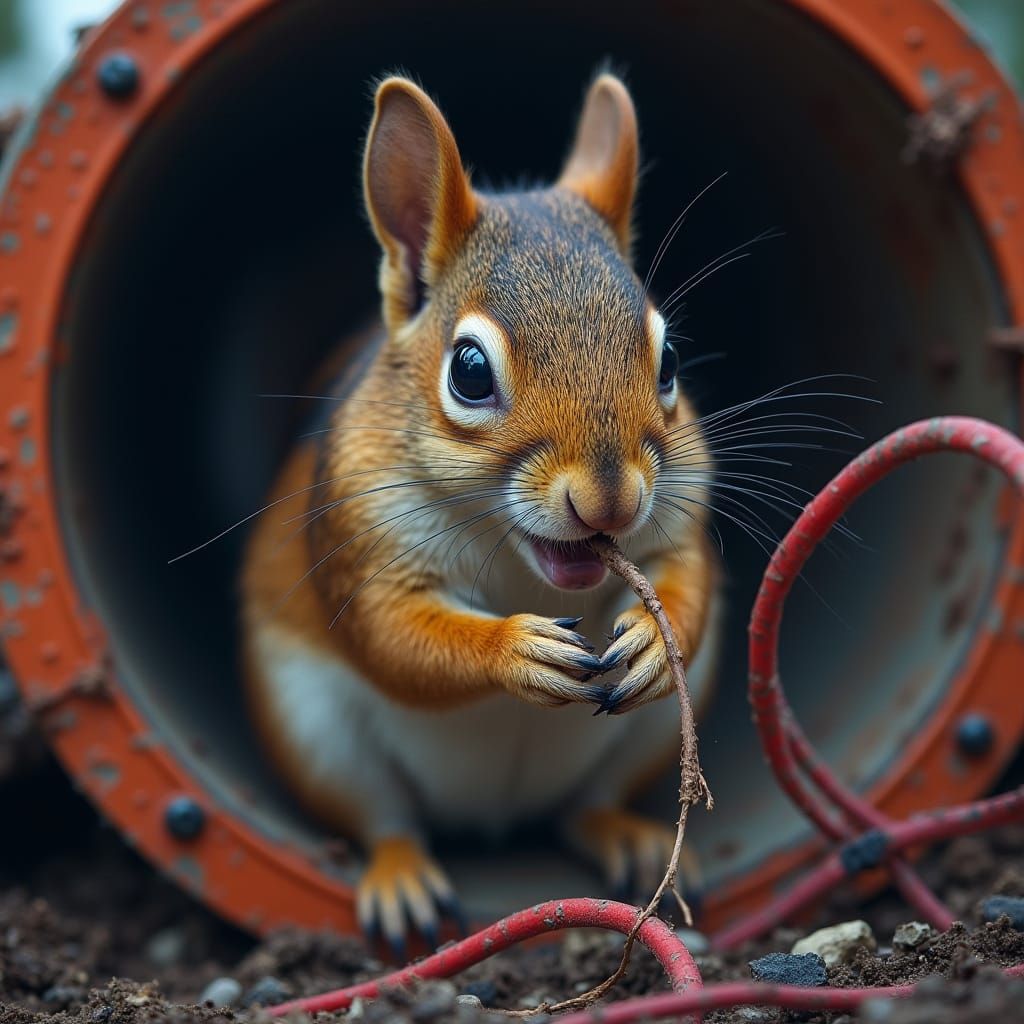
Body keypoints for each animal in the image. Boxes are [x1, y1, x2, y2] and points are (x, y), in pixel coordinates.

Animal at [241, 72, 719, 950]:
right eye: (468, 371)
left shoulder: (681, 508)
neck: (519, 557)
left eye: (668, 361)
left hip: (647, 738)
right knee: (383, 822)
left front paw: (648, 633)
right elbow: (396, 640)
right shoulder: (358, 545)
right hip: (317, 735)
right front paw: (514, 648)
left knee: (585, 808)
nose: (612, 498)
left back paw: (631, 841)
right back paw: (402, 880)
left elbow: (687, 579)